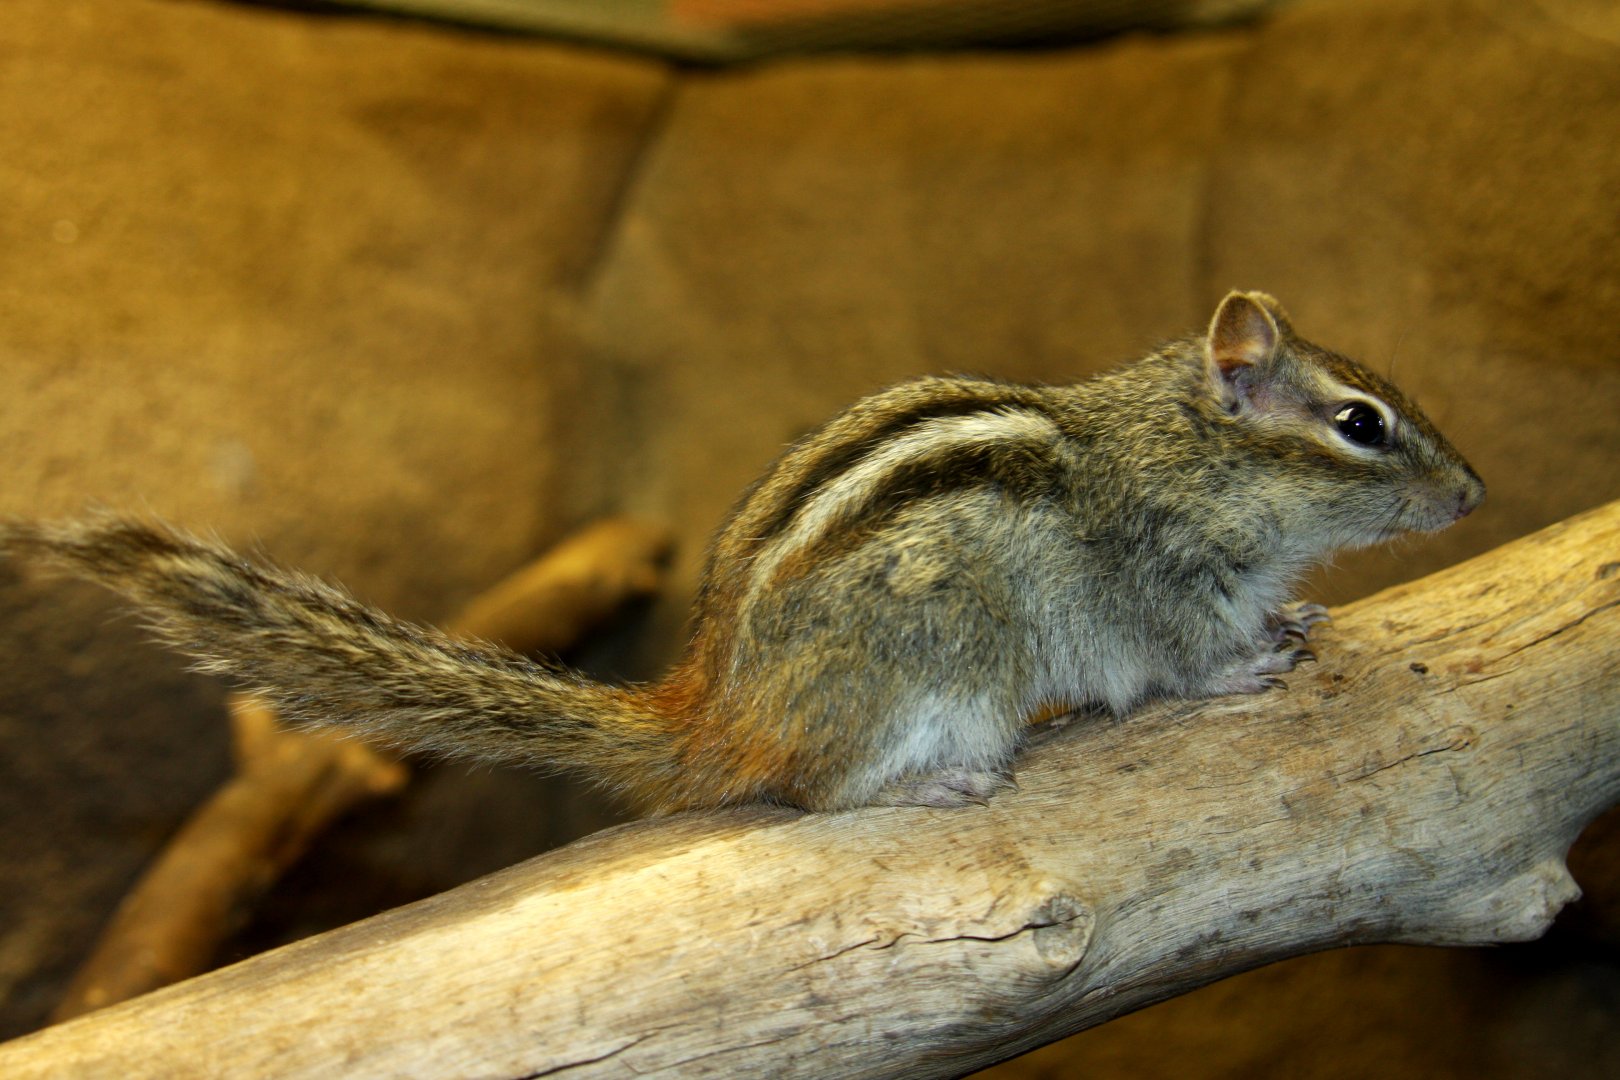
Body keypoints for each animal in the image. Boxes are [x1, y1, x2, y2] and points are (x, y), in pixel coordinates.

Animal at [1, 291, 1483, 813]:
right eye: (1360, 425)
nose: (1475, 491)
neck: (1185, 452)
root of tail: (711, 712)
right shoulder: (1158, 582)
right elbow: (1179, 661)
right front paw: (1244, 667)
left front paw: (1295, 626)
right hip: (936, 681)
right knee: (815, 796)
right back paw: (919, 790)